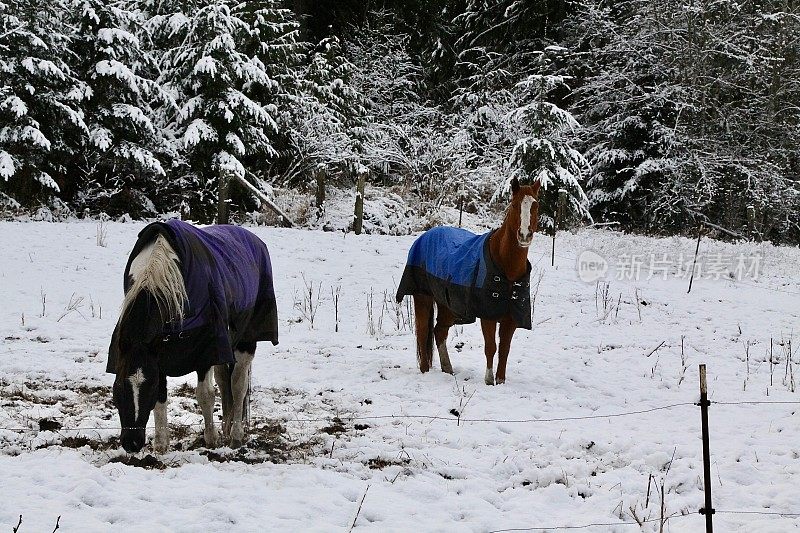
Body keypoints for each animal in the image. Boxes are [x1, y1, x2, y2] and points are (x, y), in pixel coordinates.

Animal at [108, 218, 278, 450]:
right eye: (118, 386)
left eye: (148, 386)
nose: (131, 443)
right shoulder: (159, 355)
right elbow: (161, 399)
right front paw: (161, 446)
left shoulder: (205, 349)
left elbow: (205, 395)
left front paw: (211, 439)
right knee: (224, 382)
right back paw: (226, 427)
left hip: (246, 341)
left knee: (238, 385)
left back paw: (235, 435)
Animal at [396, 178, 540, 382]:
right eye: (513, 205)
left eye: (536, 205)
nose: (525, 235)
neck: (506, 268)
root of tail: (425, 235)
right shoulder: (487, 315)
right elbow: (491, 348)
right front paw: (489, 381)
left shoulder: (511, 318)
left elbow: (504, 350)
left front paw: (500, 381)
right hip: (422, 296)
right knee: (423, 331)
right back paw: (425, 370)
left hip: (447, 305)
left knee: (439, 332)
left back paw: (448, 369)